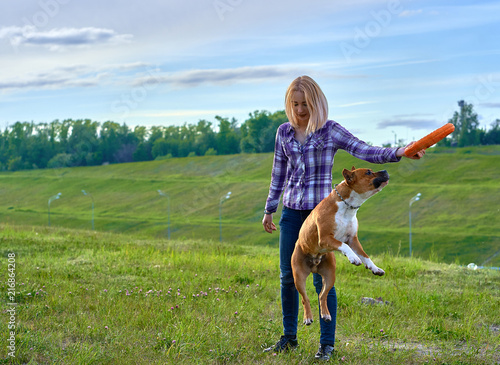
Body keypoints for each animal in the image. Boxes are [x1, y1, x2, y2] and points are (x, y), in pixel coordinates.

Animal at [290, 166, 390, 322]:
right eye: (368, 172)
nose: (385, 170)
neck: (347, 207)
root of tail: (314, 265)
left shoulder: (353, 239)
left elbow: (365, 255)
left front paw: (375, 268)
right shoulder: (326, 238)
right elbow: (344, 246)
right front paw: (353, 258)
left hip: (330, 275)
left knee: (322, 295)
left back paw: (325, 314)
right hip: (299, 277)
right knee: (304, 298)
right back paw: (308, 318)